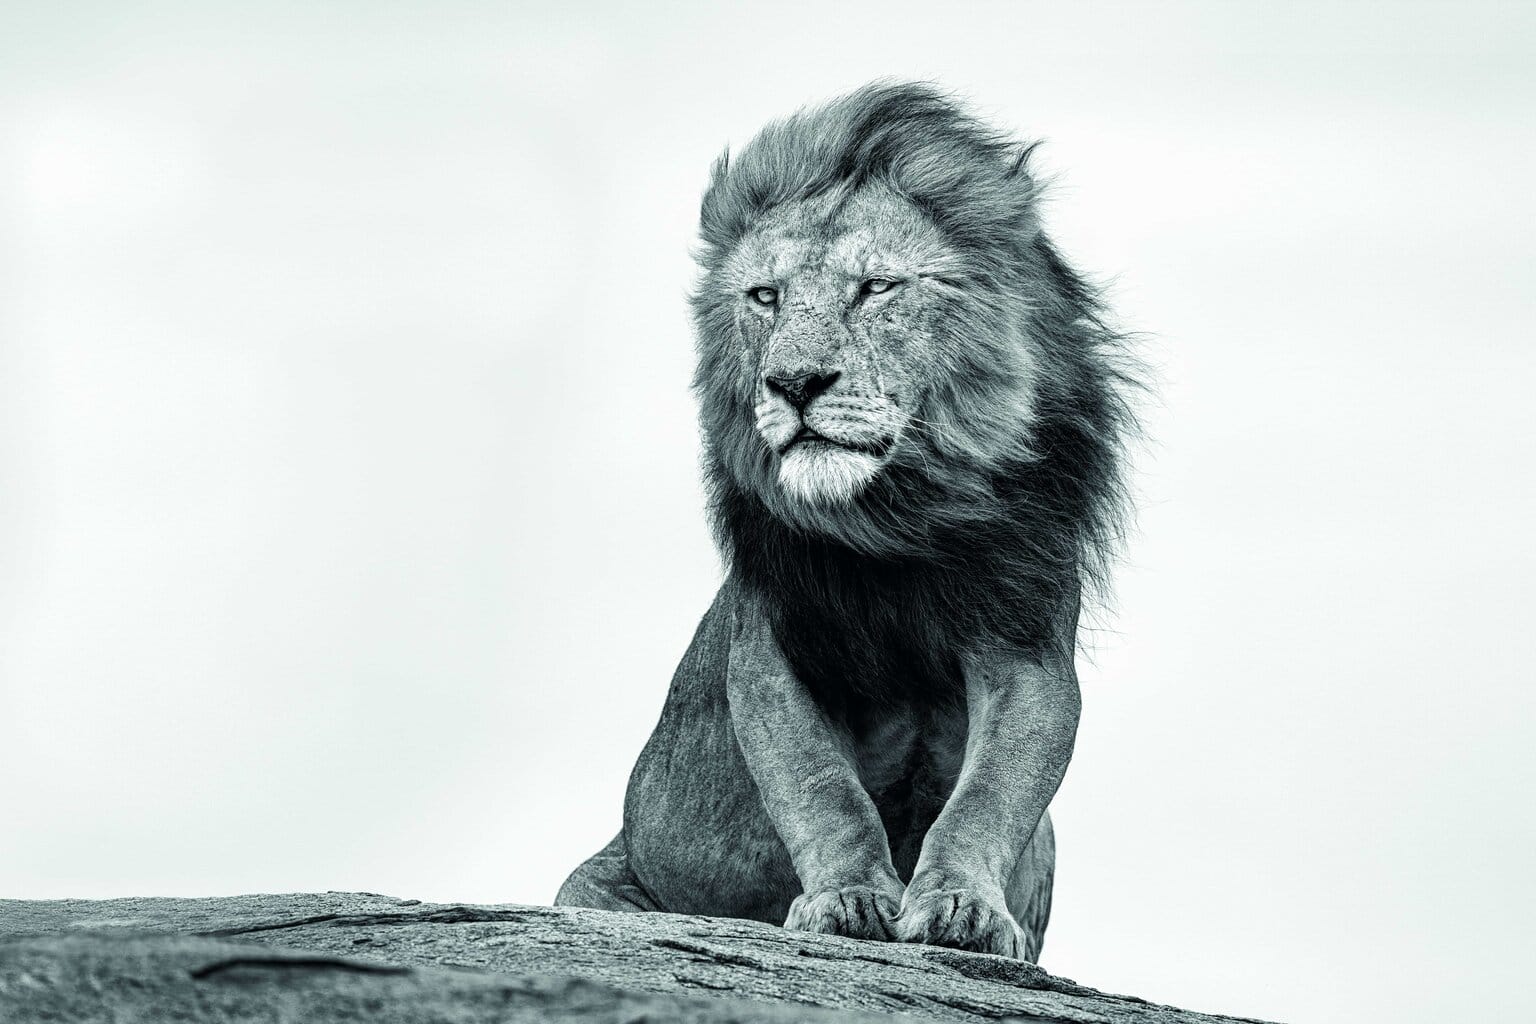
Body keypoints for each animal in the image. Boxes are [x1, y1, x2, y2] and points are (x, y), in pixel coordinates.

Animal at [555, 81, 1136, 962]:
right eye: (766, 296)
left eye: (876, 288)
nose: (794, 382)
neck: (894, 520)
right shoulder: (769, 646)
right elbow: (821, 790)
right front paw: (849, 898)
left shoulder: (1024, 645)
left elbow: (989, 794)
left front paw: (962, 906)